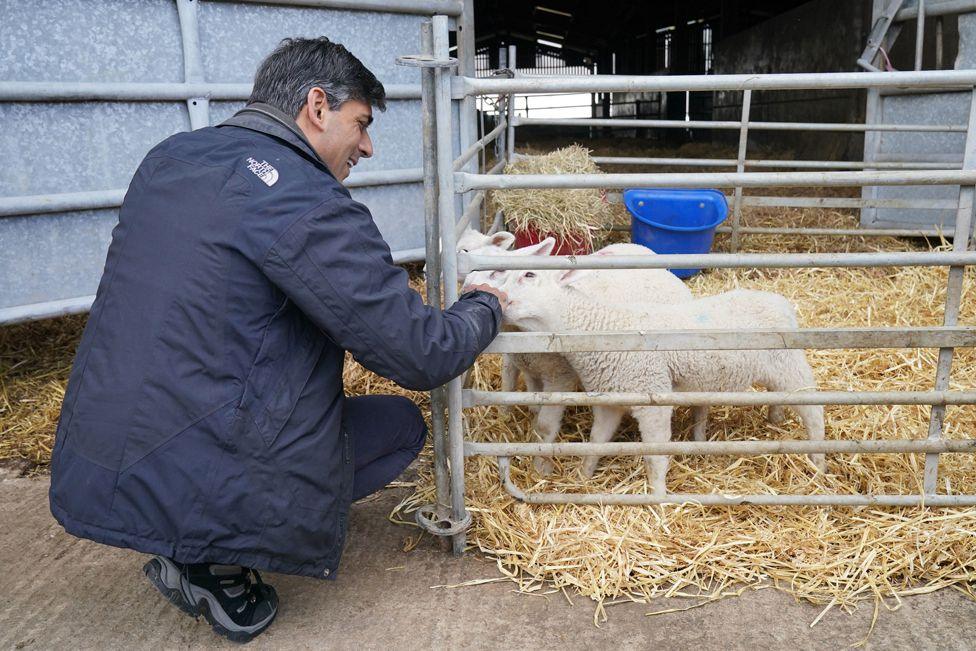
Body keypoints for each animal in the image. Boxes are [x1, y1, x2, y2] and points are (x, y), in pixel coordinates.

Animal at [496, 268, 824, 496]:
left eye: (529, 274)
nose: (495, 295)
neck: (602, 328)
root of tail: (780, 302)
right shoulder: (610, 398)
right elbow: (596, 441)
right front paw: (583, 476)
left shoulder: (652, 397)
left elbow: (655, 456)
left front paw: (657, 495)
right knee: (779, 397)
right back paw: (775, 419)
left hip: (790, 367)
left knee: (814, 411)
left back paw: (819, 462)